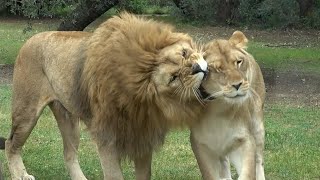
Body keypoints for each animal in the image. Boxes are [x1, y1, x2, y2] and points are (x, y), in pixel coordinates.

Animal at [3, 12, 208, 179]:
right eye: (174, 78)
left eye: (185, 53)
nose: (197, 68)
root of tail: (31, 39)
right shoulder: (107, 137)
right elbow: (114, 175)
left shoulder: (142, 136)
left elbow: (144, 174)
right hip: (27, 111)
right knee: (10, 144)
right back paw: (20, 175)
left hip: (69, 120)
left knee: (68, 153)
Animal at [190, 31, 264, 180]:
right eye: (217, 69)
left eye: (238, 62)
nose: (237, 84)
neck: (219, 108)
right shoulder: (200, 145)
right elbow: (210, 174)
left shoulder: (245, 139)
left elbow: (248, 173)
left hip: (258, 127)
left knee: (259, 161)